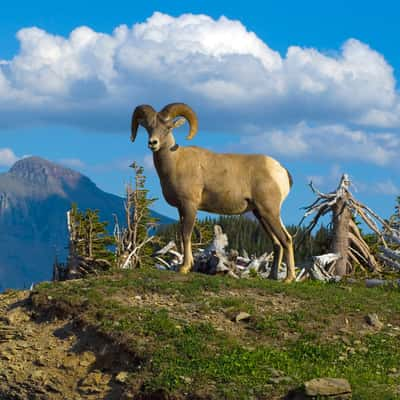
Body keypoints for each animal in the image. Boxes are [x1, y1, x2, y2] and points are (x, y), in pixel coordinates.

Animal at [132, 104, 296, 282]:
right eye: (149, 127)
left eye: (168, 128)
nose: (153, 143)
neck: (175, 163)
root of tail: (281, 171)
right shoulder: (181, 209)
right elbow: (183, 236)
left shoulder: (190, 206)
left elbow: (186, 235)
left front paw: (184, 268)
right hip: (261, 214)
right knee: (277, 243)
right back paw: (272, 277)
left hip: (269, 212)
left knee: (286, 239)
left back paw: (288, 279)